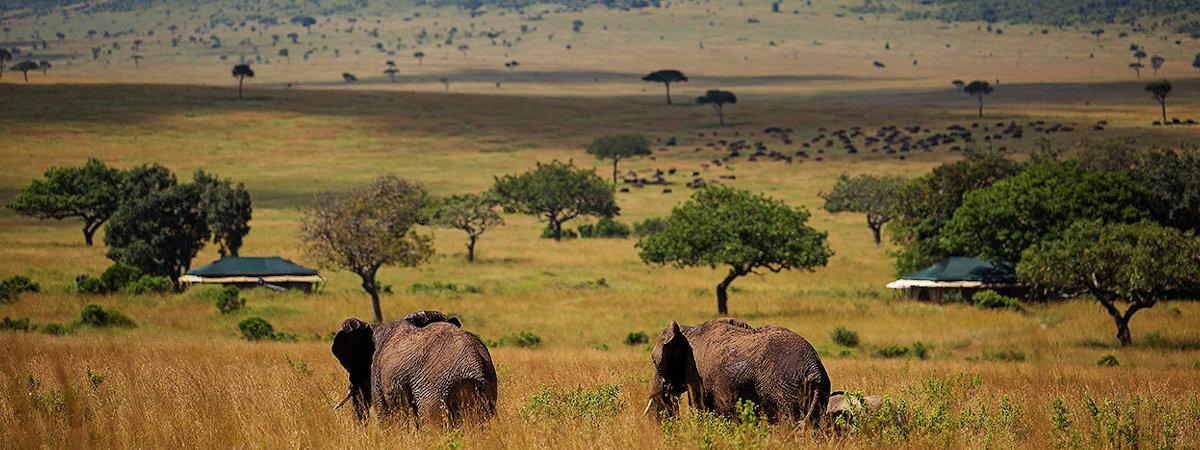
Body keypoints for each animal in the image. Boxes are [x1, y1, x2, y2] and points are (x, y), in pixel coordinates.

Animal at [643, 319, 830, 427]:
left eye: (654, 361)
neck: (687, 330)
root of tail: (814, 369)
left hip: (784, 389)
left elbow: (700, 405)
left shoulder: (694, 371)